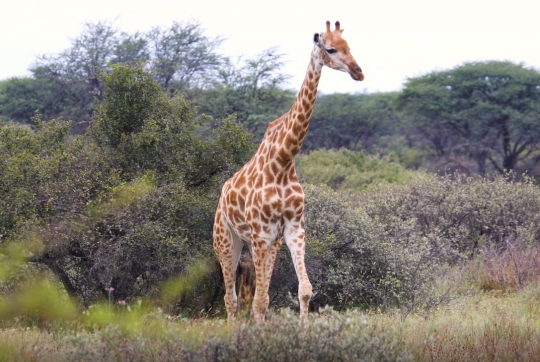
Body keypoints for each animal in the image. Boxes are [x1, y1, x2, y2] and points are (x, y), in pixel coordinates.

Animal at [212, 20, 362, 326]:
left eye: (349, 46)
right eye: (330, 49)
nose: (358, 72)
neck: (283, 161)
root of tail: (221, 197)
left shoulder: (293, 229)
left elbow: (303, 290)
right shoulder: (261, 233)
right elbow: (259, 301)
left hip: (264, 243)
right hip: (226, 241)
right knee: (231, 299)